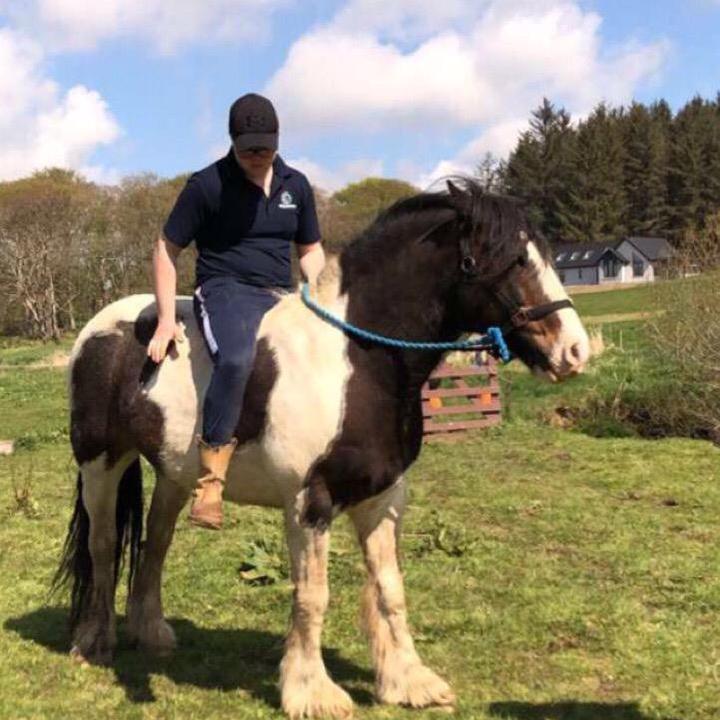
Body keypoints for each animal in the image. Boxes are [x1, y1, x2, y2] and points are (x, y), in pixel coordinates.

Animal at [54, 178, 590, 719]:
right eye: (512, 260)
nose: (575, 351)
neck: (355, 363)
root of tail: (104, 326)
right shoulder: (309, 503)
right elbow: (313, 595)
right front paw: (312, 691)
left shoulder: (383, 499)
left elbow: (390, 589)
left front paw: (409, 681)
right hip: (100, 463)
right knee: (103, 544)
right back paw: (94, 642)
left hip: (174, 474)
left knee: (155, 541)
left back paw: (152, 634)